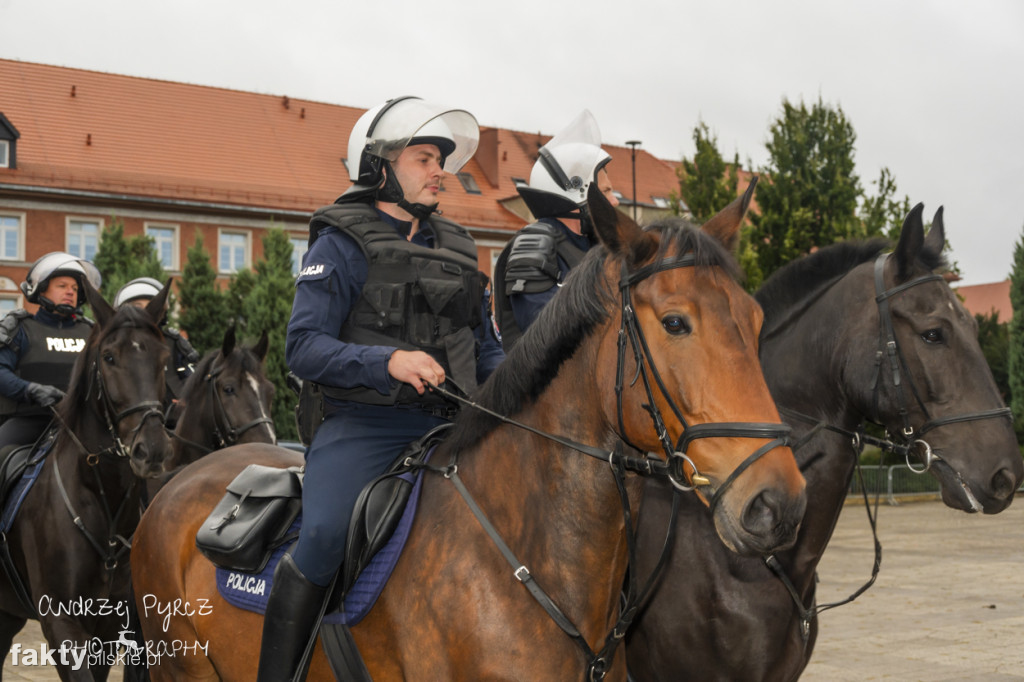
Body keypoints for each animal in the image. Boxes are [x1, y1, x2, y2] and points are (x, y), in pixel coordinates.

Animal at [0, 278, 174, 675]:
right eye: (109, 357)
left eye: (163, 359)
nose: (152, 449)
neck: (100, 495)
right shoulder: (61, 621)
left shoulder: (109, 625)